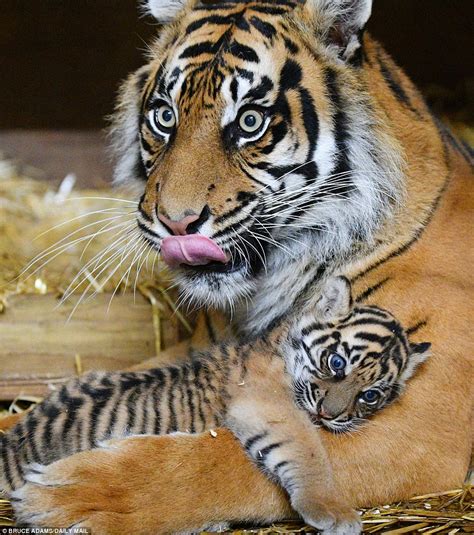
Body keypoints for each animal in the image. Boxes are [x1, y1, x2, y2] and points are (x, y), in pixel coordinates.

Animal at [5, 0, 472, 532]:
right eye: (164, 116)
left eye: (249, 122)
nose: (176, 222)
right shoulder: (194, 355)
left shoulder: (422, 428)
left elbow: (225, 453)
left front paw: (81, 493)